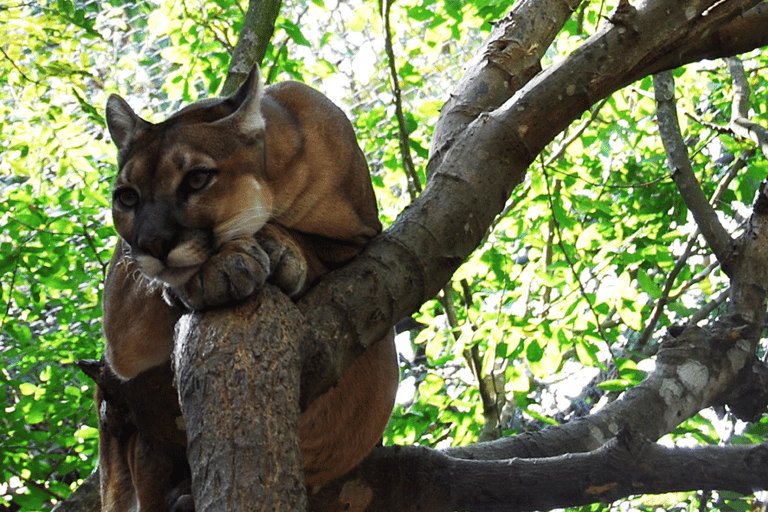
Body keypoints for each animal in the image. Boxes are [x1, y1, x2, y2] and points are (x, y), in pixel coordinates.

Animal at [93, 68, 400, 512]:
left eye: (197, 179)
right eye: (127, 198)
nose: (153, 243)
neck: (274, 180)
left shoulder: (362, 236)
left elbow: (308, 240)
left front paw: (272, 249)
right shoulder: (122, 321)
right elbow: (145, 293)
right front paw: (218, 267)